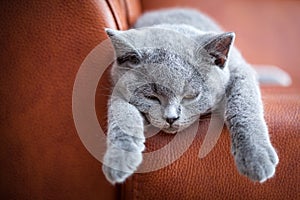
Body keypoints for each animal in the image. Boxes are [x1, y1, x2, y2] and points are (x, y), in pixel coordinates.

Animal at [101, 9, 278, 184]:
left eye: (190, 96)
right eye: (151, 97)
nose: (171, 118)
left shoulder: (240, 71)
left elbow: (243, 104)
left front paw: (256, 157)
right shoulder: (118, 89)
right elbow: (122, 115)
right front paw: (119, 159)